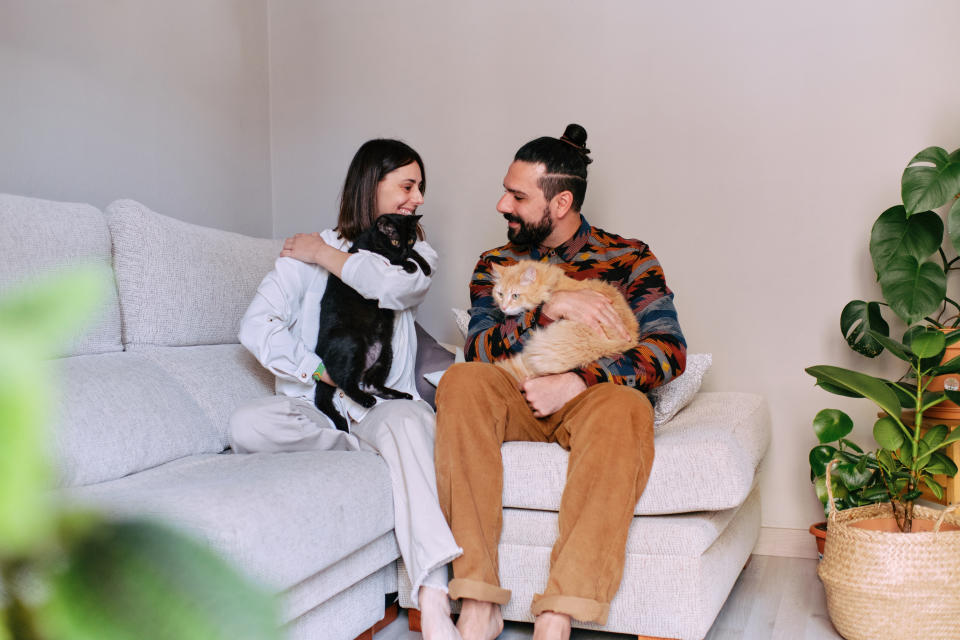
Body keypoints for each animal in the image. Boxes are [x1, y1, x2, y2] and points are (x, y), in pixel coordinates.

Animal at [314, 212, 430, 432]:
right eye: (395, 241)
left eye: (411, 239)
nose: (404, 250)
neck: (370, 239)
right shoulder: (374, 257)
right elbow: (391, 260)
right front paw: (410, 265)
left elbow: (414, 254)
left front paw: (424, 265)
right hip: (353, 343)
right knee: (344, 382)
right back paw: (366, 401)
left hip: (386, 352)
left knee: (370, 385)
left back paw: (401, 395)